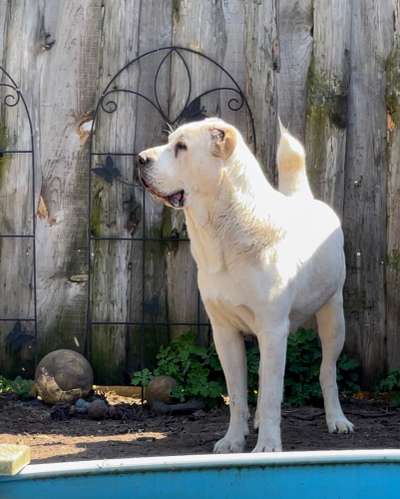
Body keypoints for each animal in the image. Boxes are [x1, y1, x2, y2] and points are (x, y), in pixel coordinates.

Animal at [138, 117, 354, 454]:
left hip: (333, 318)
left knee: (326, 371)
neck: (224, 229)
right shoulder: (225, 332)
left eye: (181, 147)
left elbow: (272, 397)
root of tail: (305, 200)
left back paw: (337, 419)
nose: (139, 160)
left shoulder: (273, 329)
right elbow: (238, 395)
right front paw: (233, 440)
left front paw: (267, 447)